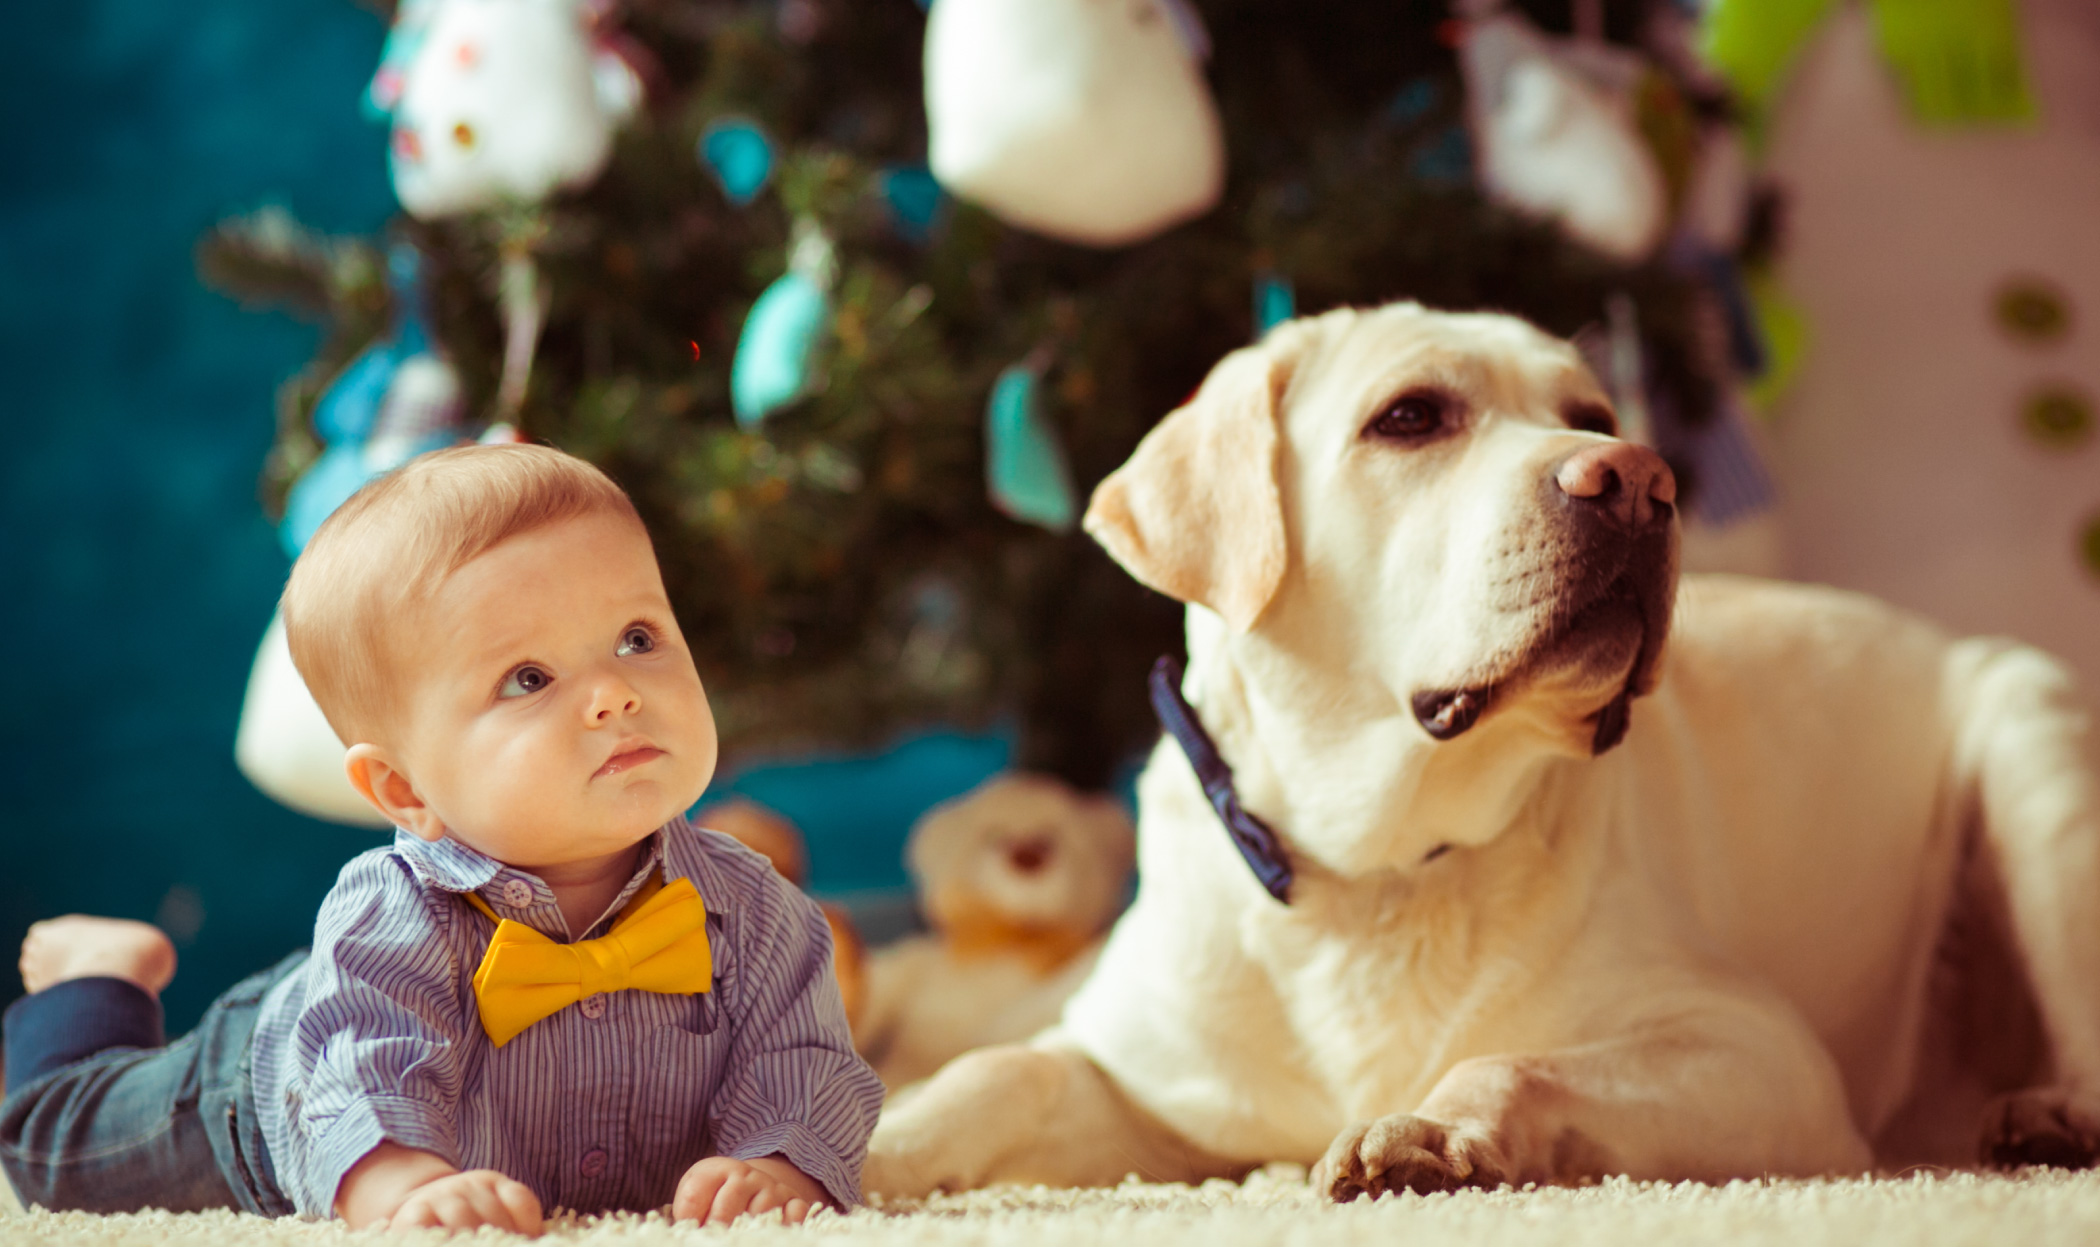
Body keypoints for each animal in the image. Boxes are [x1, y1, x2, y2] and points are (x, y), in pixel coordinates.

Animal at [856, 300, 2100, 1192]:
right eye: (1410, 416)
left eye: (1595, 412)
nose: (1639, 479)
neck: (1370, 873)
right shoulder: (1147, 1081)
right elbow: (998, 1068)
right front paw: (863, 1145)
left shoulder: (1764, 1054)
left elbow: (1515, 1055)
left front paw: (1430, 1125)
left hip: (2032, 757)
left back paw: (2050, 1117)